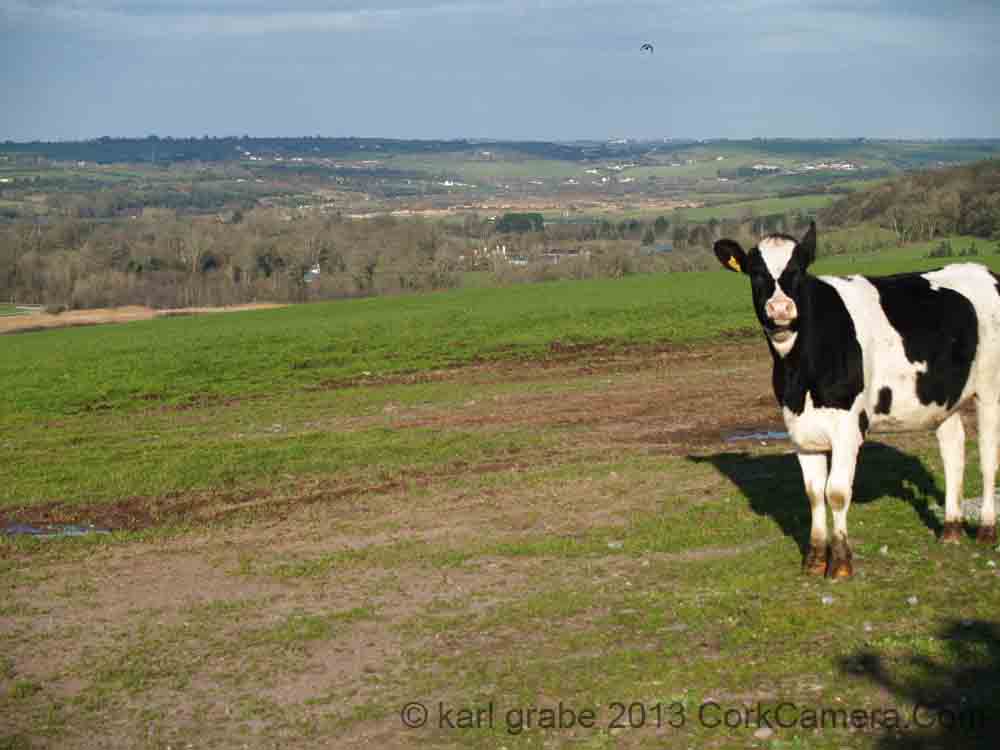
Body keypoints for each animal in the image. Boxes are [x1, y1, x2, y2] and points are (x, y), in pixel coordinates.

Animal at [713, 223, 1000, 579]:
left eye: (799, 269)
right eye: (756, 272)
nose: (780, 309)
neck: (800, 370)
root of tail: (983, 271)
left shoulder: (848, 427)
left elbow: (835, 492)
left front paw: (840, 563)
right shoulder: (799, 429)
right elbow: (813, 494)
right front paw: (815, 559)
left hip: (990, 389)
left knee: (988, 456)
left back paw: (987, 530)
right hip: (945, 397)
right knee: (953, 451)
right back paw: (950, 529)